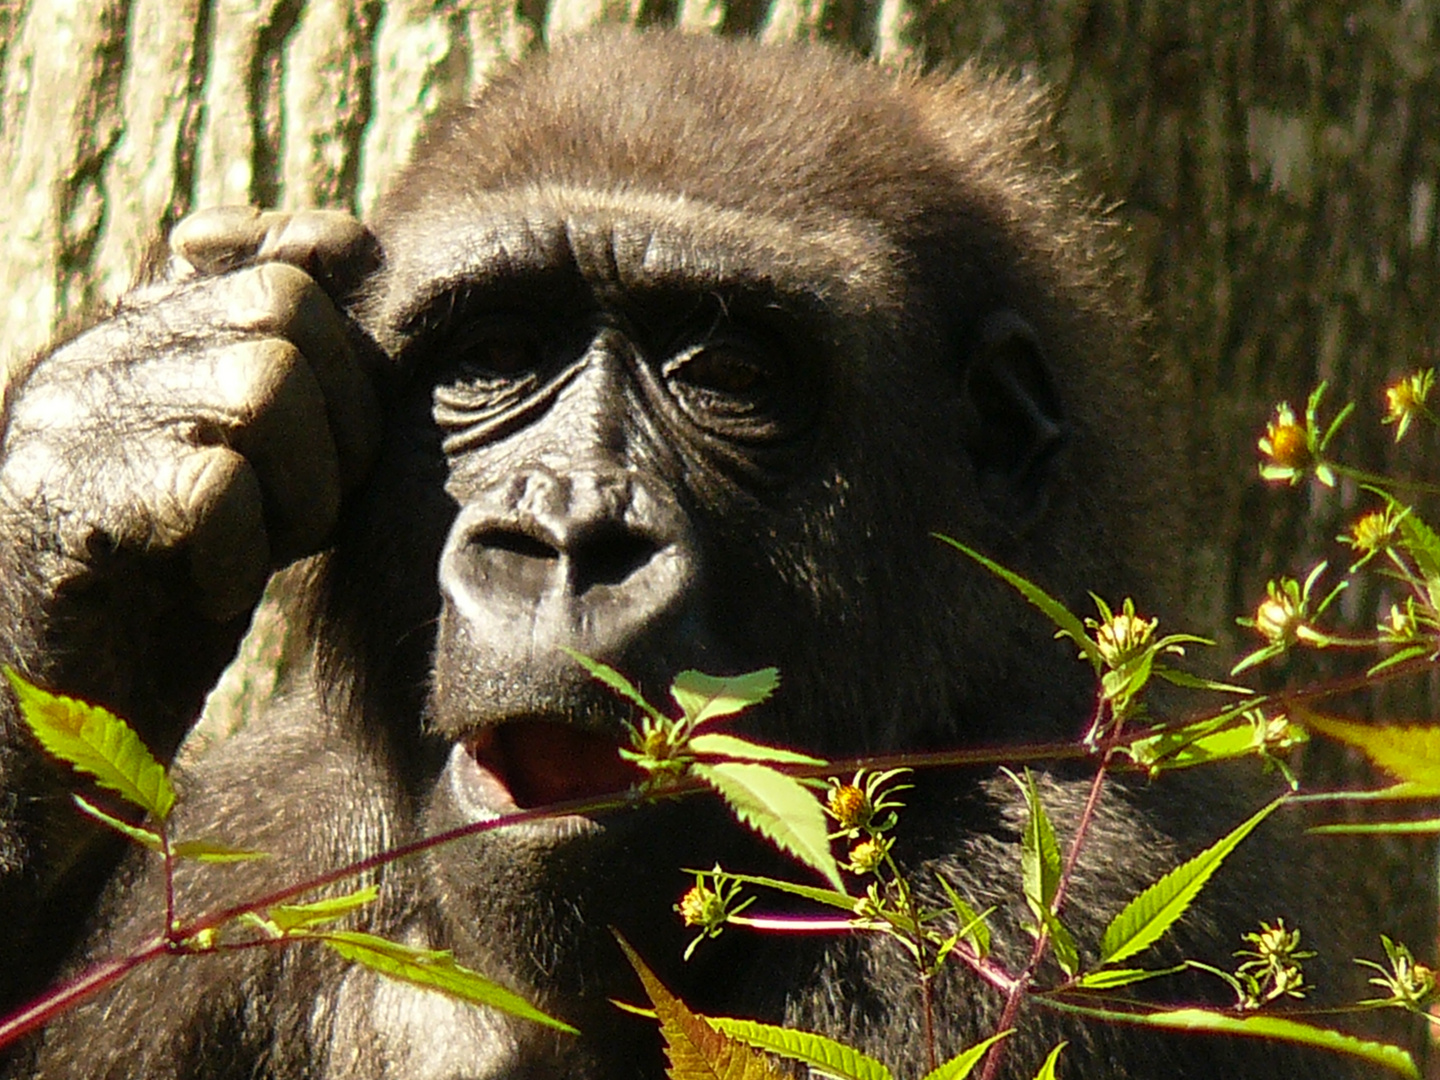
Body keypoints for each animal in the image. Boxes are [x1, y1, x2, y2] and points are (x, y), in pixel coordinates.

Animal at [0, 29, 1370, 1077]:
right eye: (493, 357)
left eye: (729, 374)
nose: (566, 538)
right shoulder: (261, 845)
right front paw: (107, 455)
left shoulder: (1047, 893)